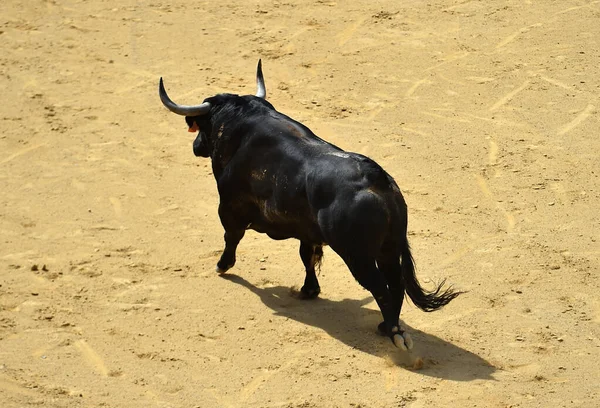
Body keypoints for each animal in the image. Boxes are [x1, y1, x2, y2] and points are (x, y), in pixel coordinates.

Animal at [159, 60, 460, 350]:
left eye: (202, 126)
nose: (196, 146)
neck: (241, 126)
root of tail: (380, 182)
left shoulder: (229, 206)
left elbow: (232, 237)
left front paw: (222, 265)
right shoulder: (307, 230)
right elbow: (308, 256)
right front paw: (309, 290)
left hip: (358, 256)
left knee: (381, 289)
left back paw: (392, 331)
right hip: (388, 248)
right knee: (395, 284)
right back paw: (388, 327)